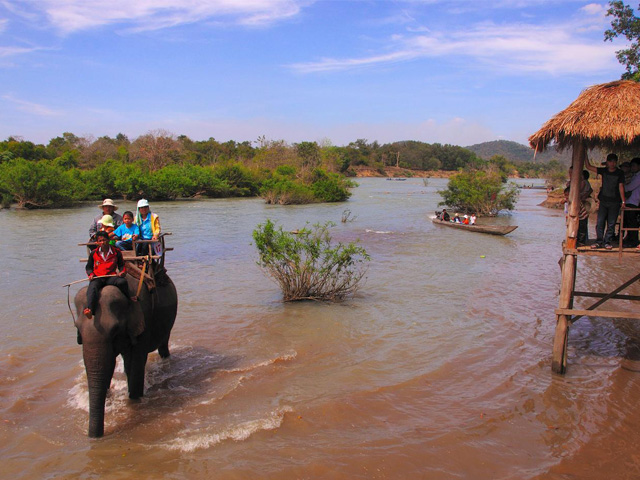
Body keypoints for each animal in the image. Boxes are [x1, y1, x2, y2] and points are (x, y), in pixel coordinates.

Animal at [75, 268, 178, 436]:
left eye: (115, 330)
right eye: (77, 328)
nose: (93, 438)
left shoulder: (144, 317)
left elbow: (136, 362)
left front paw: (134, 401)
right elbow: (109, 364)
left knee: (163, 344)